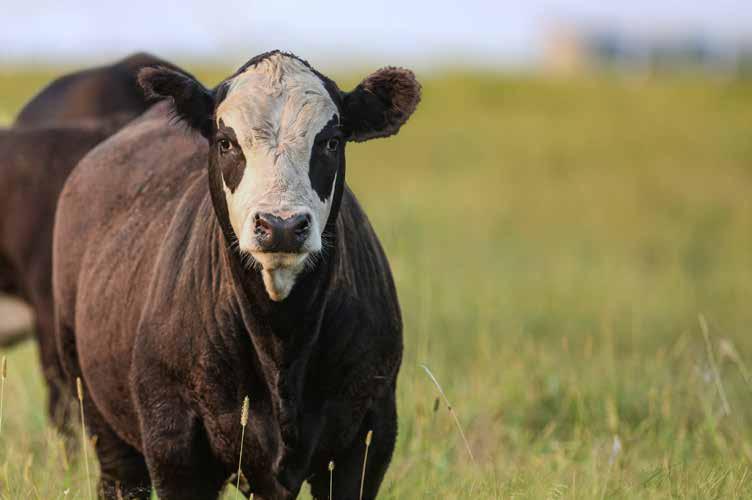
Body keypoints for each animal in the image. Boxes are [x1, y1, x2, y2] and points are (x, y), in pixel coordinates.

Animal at [53, 50, 420, 499]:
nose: (281, 225)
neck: (281, 342)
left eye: (331, 141)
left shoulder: (369, 434)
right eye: (226, 142)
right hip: (97, 414)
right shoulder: (173, 443)